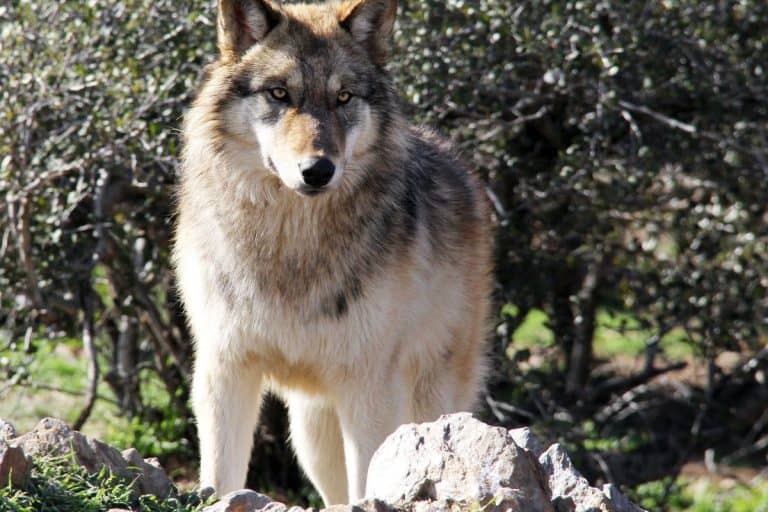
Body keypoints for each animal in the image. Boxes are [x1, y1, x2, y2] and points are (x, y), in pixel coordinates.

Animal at [172, 0, 493, 505]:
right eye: (280, 93)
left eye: (343, 98)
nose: (318, 170)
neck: (291, 247)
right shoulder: (225, 371)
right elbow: (221, 478)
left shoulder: (368, 389)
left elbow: (370, 484)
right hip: (312, 435)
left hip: (424, 404)